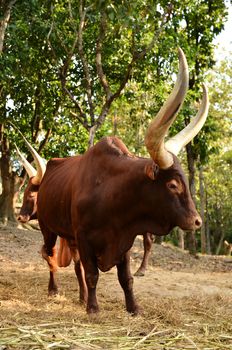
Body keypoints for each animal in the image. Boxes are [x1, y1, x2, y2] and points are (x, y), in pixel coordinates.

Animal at [16, 47, 208, 314]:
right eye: (172, 184)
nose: (197, 221)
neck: (111, 194)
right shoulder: (84, 238)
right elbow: (92, 274)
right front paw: (93, 309)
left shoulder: (123, 238)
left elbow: (125, 278)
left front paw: (133, 307)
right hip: (48, 228)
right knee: (51, 256)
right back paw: (54, 290)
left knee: (73, 265)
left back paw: (81, 297)